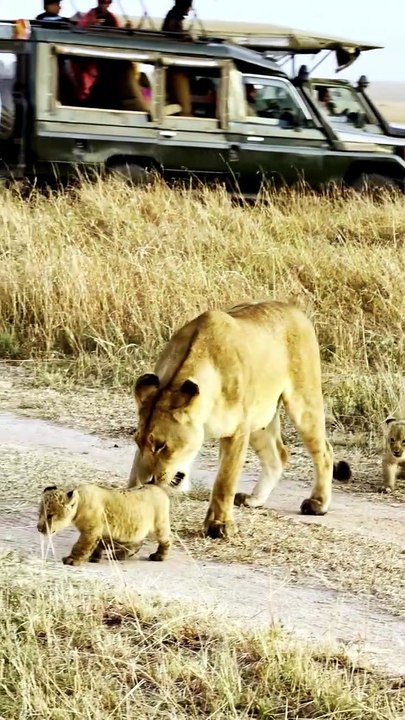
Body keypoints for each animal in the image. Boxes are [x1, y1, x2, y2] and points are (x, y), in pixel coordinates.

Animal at [37, 483, 171, 565]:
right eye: (40, 513)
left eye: (50, 515)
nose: (38, 528)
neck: (80, 504)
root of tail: (159, 489)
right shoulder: (99, 531)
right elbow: (98, 545)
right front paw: (94, 558)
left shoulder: (91, 530)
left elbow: (80, 545)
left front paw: (72, 560)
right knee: (136, 542)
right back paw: (119, 555)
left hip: (159, 526)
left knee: (167, 540)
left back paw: (159, 556)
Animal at [127, 300, 351, 539]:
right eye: (138, 442)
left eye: (161, 446)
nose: (149, 481)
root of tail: (292, 307)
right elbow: (134, 471)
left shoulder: (236, 431)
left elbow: (225, 481)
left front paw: (219, 525)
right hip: (260, 420)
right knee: (278, 455)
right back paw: (254, 500)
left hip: (303, 401)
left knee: (324, 451)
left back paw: (318, 503)